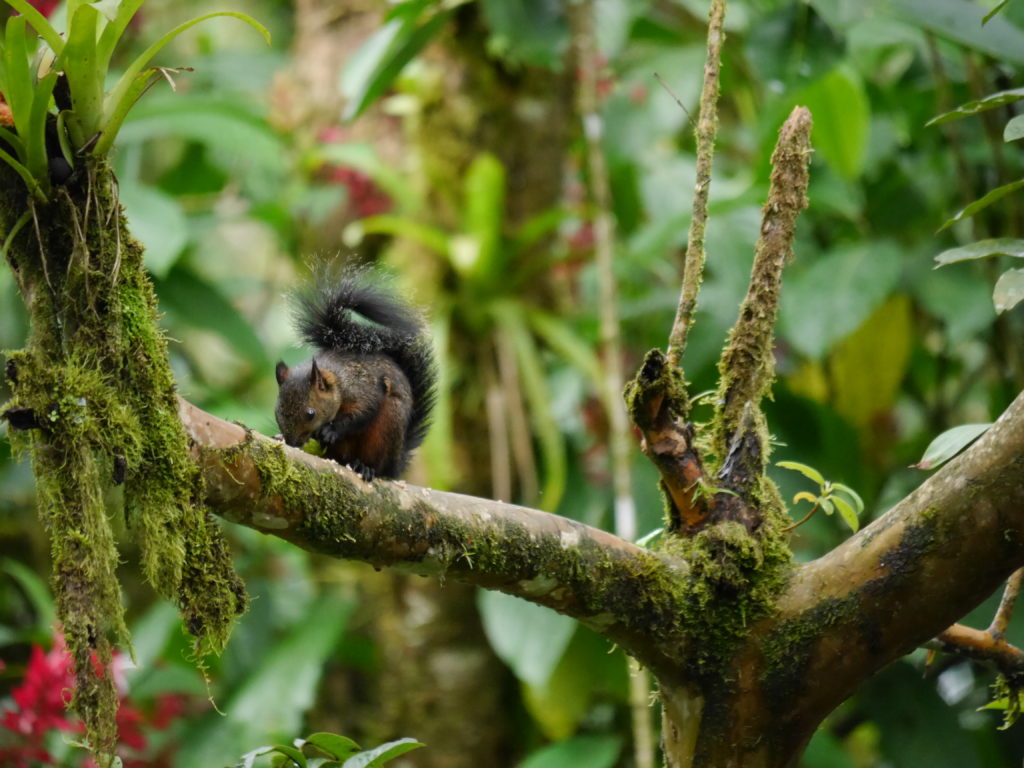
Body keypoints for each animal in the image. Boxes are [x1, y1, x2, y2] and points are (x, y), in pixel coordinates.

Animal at [274, 276, 434, 481]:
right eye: (277, 411)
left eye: (311, 414)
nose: (292, 443)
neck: (339, 380)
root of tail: (395, 466)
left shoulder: (364, 390)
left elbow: (361, 413)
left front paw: (332, 430)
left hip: (387, 428)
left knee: (376, 463)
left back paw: (365, 467)